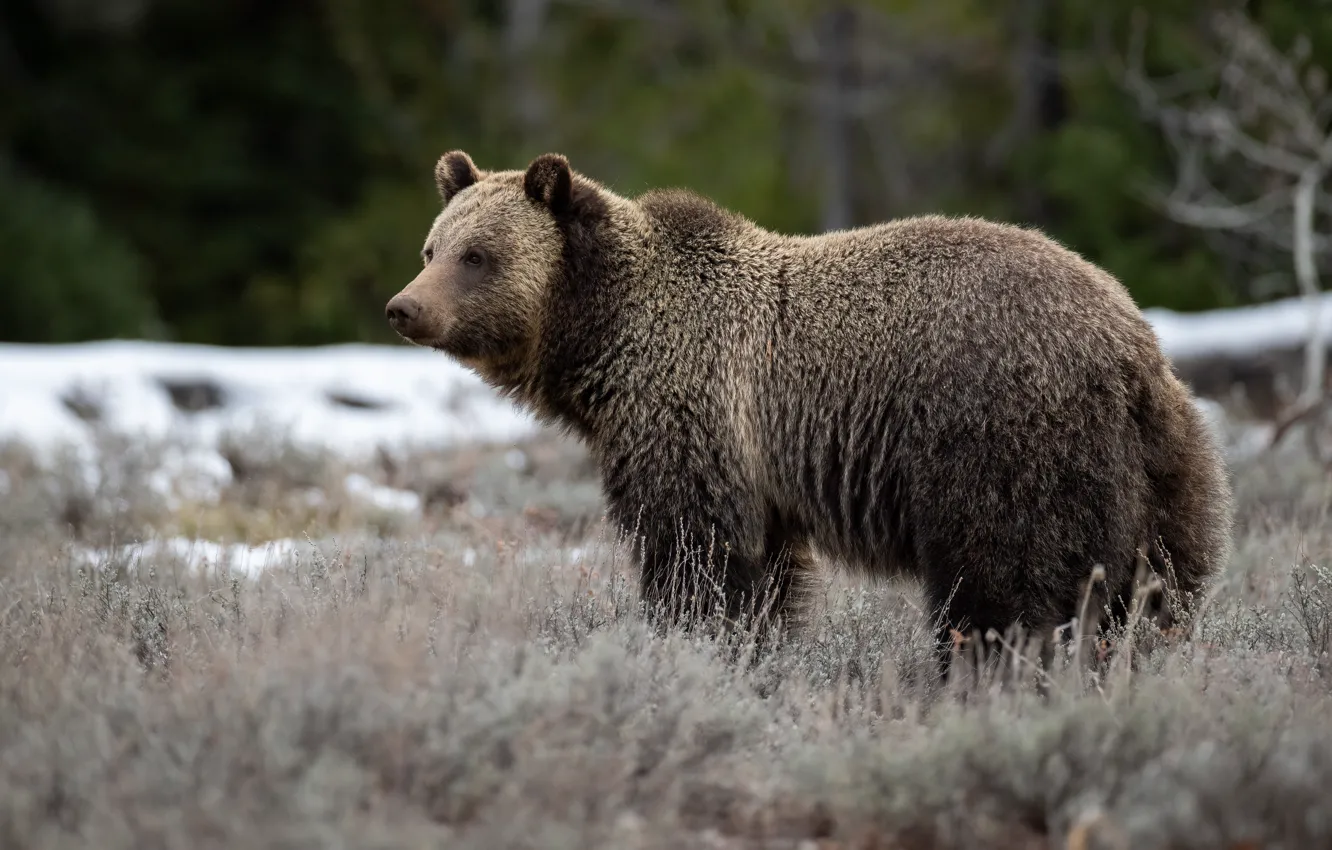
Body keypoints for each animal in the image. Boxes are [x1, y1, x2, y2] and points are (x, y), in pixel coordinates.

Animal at [385, 150, 1234, 676]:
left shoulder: (691, 410)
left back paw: (987, 671)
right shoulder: (756, 465)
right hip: (1163, 467)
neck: (604, 334)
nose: (403, 307)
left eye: (478, 256)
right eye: (432, 247)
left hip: (1000, 439)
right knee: (1159, 584)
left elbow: (693, 551)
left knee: (1005, 581)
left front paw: (690, 639)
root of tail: (1128, 342)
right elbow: (761, 572)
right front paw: (750, 650)